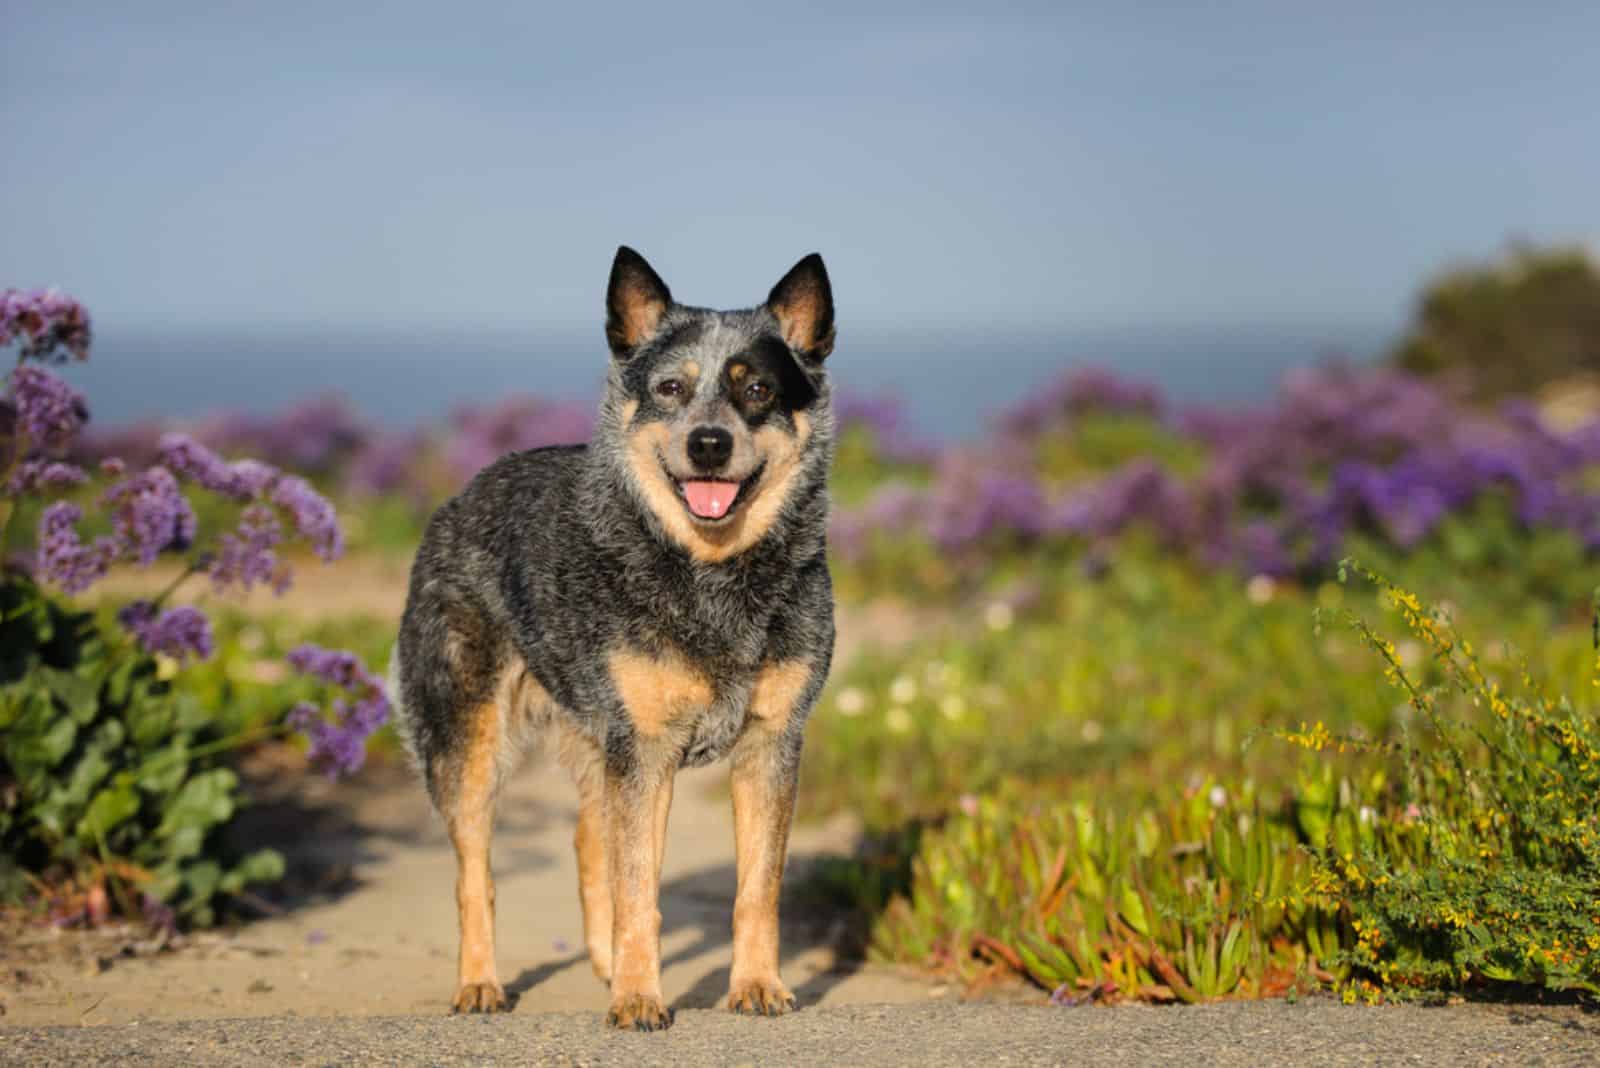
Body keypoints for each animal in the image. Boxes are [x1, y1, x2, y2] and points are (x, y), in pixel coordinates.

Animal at [390, 246, 838, 1029]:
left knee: (585, 837)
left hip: (598, 737)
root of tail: (461, 495)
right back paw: (480, 984)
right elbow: (639, 891)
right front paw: (639, 998)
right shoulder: (647, 747)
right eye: (670, 388)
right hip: (465, 741)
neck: (709, 573)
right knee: (475, 872)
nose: (709, 442)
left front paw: (756, 986)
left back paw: (599, 965)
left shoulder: (771, 743)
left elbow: (756, 887)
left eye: (756, 389)